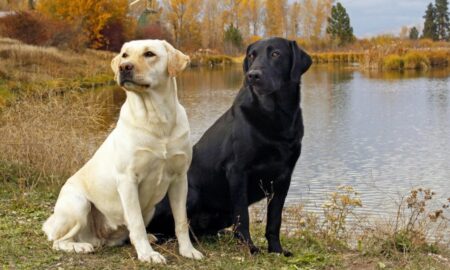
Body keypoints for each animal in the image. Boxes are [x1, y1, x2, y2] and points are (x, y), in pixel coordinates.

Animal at [42, 39, 204, 262]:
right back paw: (80, 246)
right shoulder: (128, 180)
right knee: (59, 241)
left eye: (149, 54)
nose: (124, 67)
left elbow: (181, 222)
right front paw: (147, 254)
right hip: (78, 203)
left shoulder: (180, 178)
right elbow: (136, 223)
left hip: (150, 208)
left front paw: (188, 250)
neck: (156, 118)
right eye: (125, 55)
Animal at [149, 37, 312, 255]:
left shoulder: (284, 177)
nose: (253, 75)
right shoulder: (237, 171)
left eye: (276, 54)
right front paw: (250, 248)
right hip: (190, 194)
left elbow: (275, 219)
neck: (275, 115)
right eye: (252, 55)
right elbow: (243, 216)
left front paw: (276, 249)